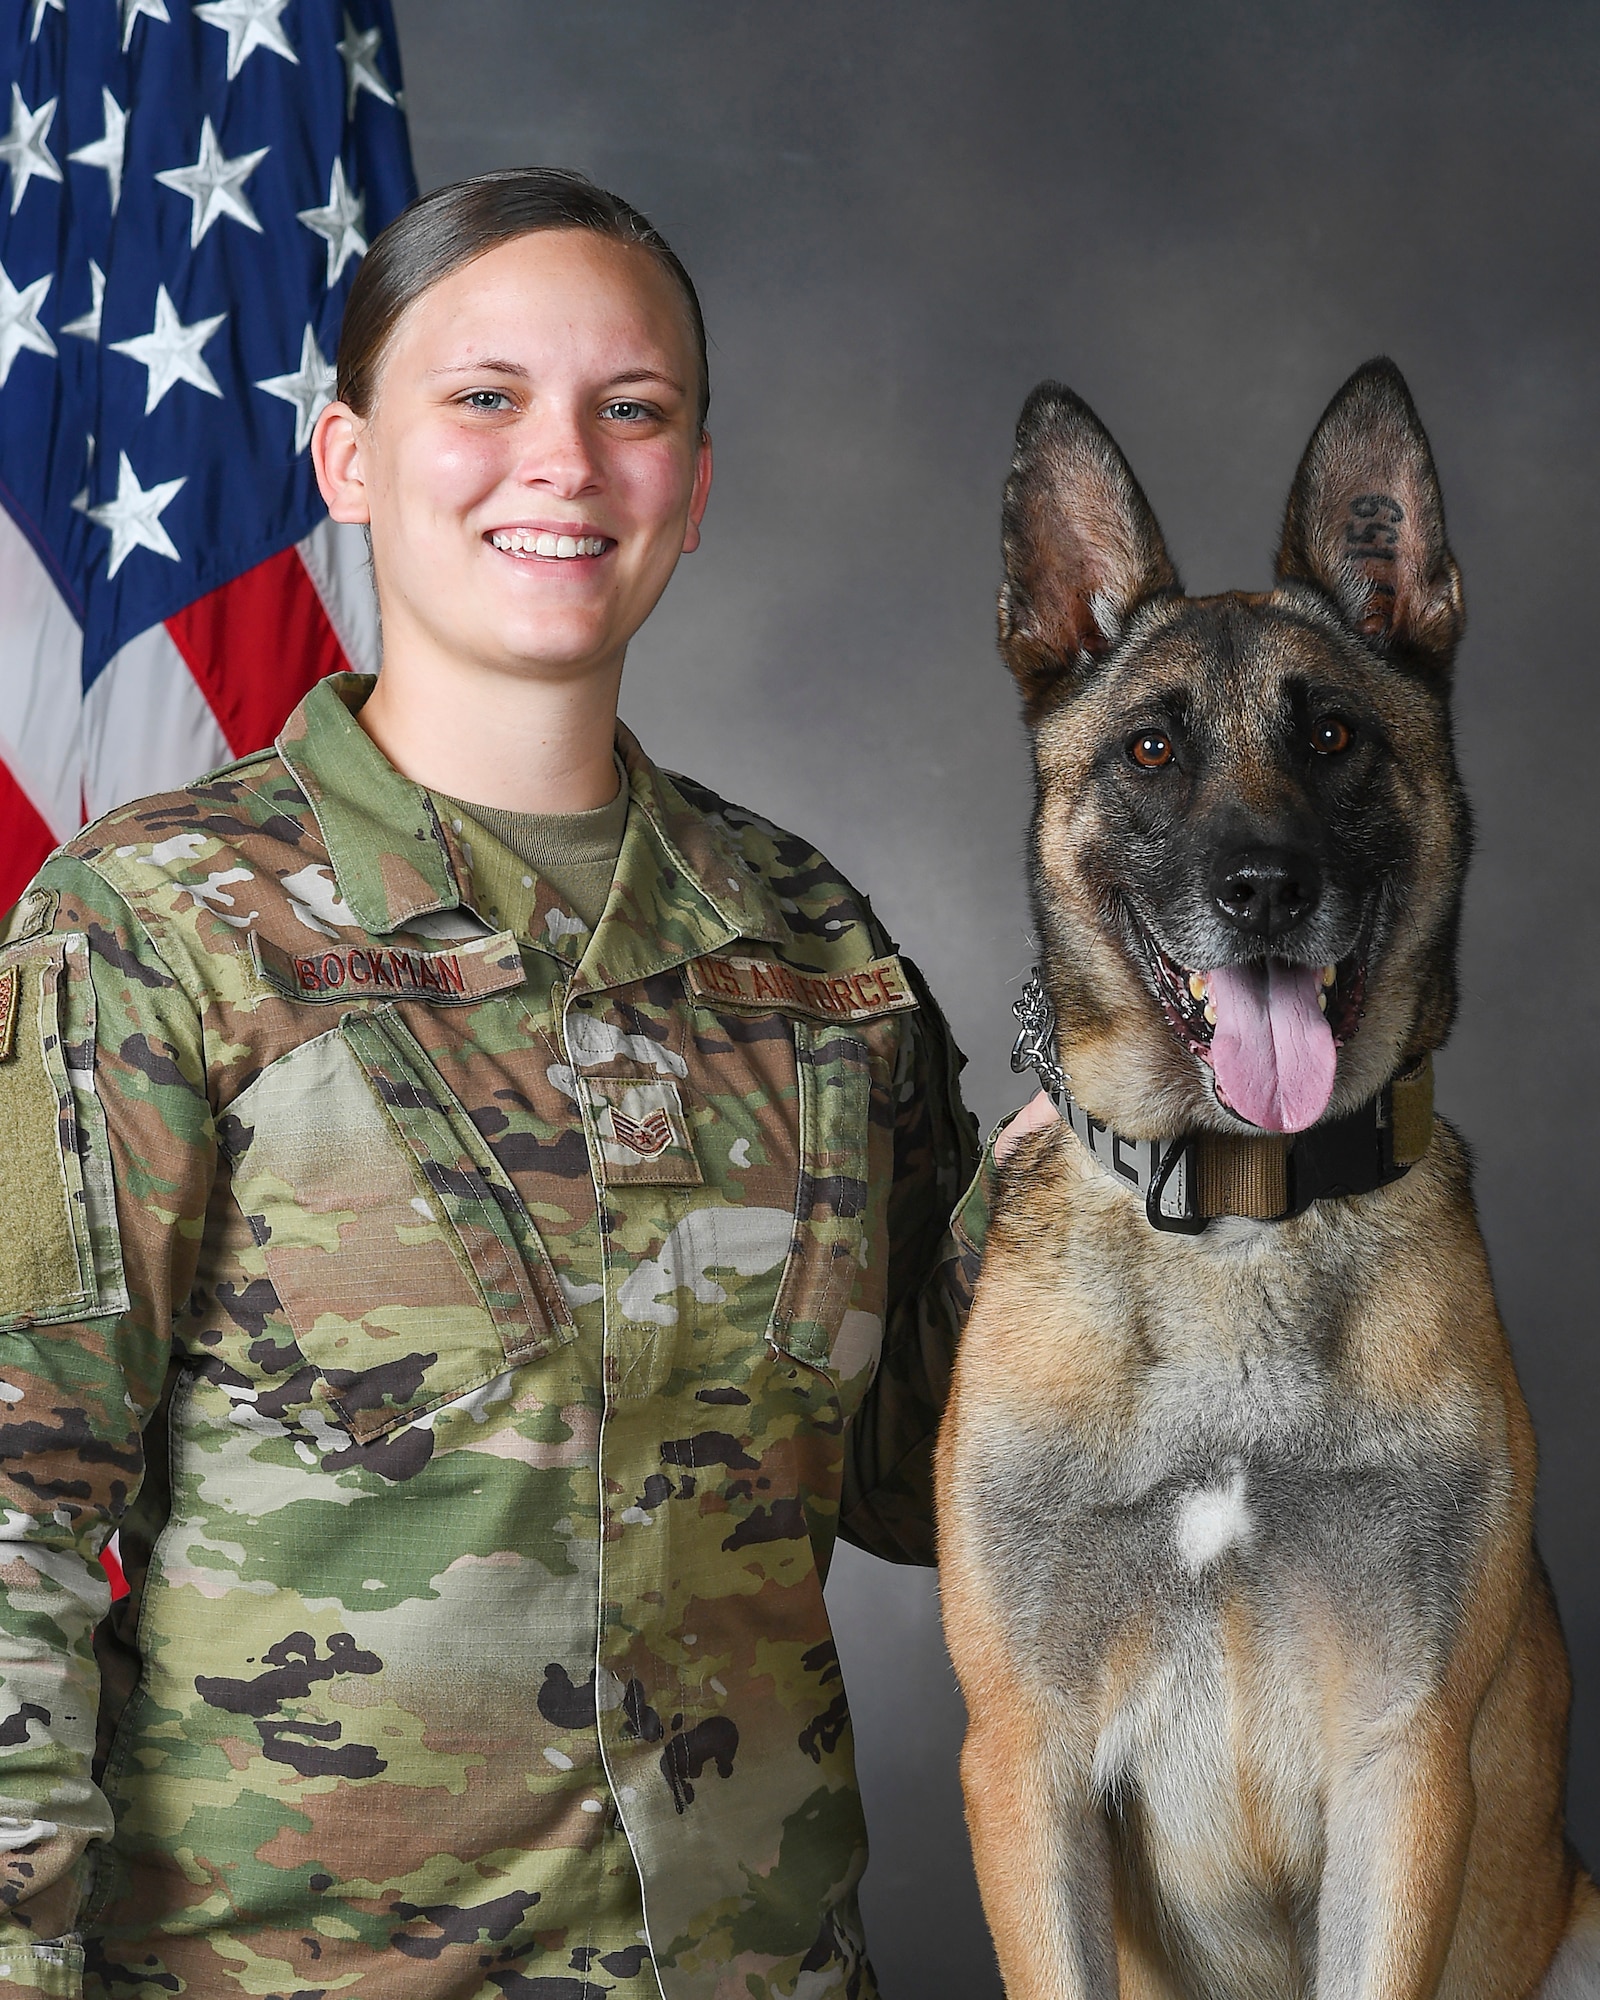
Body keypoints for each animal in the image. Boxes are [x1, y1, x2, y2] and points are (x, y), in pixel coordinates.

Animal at [936, 364, 1600, 2000]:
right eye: (1150, 751)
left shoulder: (1405, 1763)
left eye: (1337, 738)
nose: (1262, 892)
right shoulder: (1023, 1763)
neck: (1236, 1215)